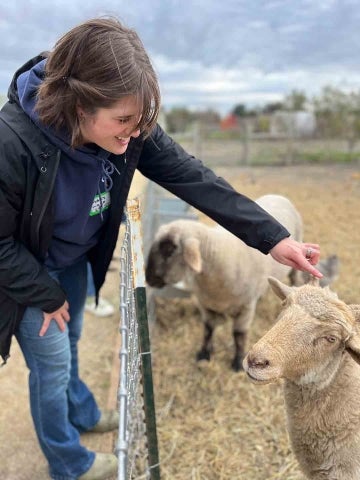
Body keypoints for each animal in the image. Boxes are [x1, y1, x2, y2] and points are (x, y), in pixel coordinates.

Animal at [146, 193, 304, 370]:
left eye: (168, 249)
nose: (148, 278)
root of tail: (277, 195)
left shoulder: (245, 308)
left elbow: (239, 335)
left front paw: (237, 361)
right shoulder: (206, 304)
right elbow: (208, 330)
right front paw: (204, 354)